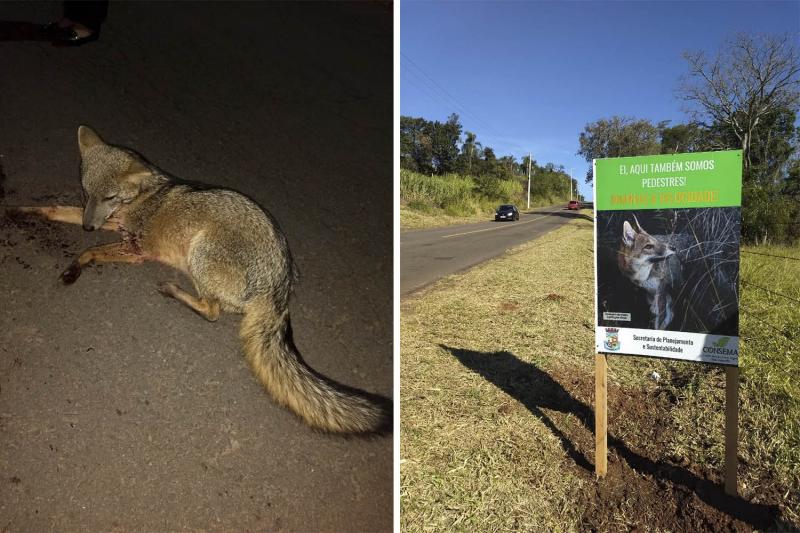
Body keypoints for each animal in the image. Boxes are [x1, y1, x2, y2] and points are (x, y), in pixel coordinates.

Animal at [8, 127, 390, 434]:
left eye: (110, 197)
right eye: (86, 194)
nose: (88, 228)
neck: (143, 197)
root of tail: (280, 286)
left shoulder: (137, 249)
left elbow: (90, 252)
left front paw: (74, 267)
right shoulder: (108, 224)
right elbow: (57, 210)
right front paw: (20, 211)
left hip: (199, 252)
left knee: (212, 311)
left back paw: (174, 290)